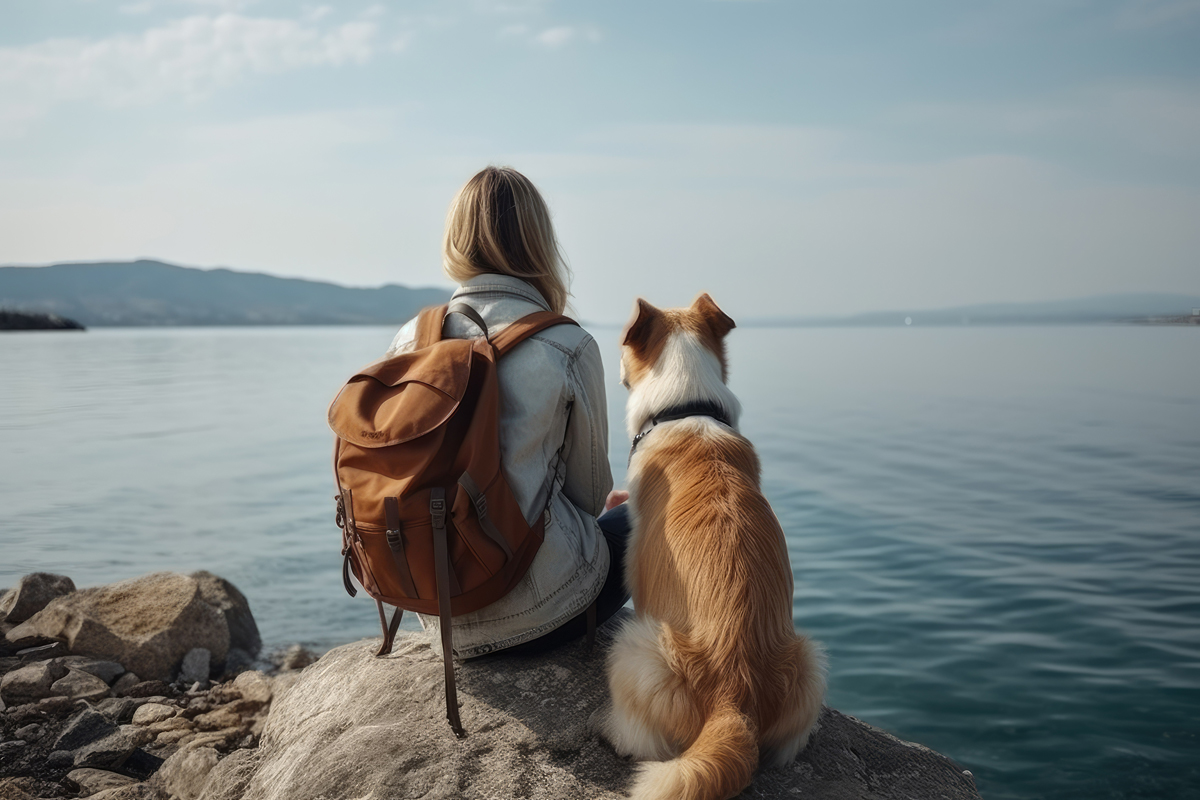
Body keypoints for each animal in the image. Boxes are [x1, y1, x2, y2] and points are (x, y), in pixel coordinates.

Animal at [600, 293, 825, 800]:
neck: (687, 407)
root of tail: (733, 702)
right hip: (809, 660)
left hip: (637, 646)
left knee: (640, 737)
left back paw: (611, 731)